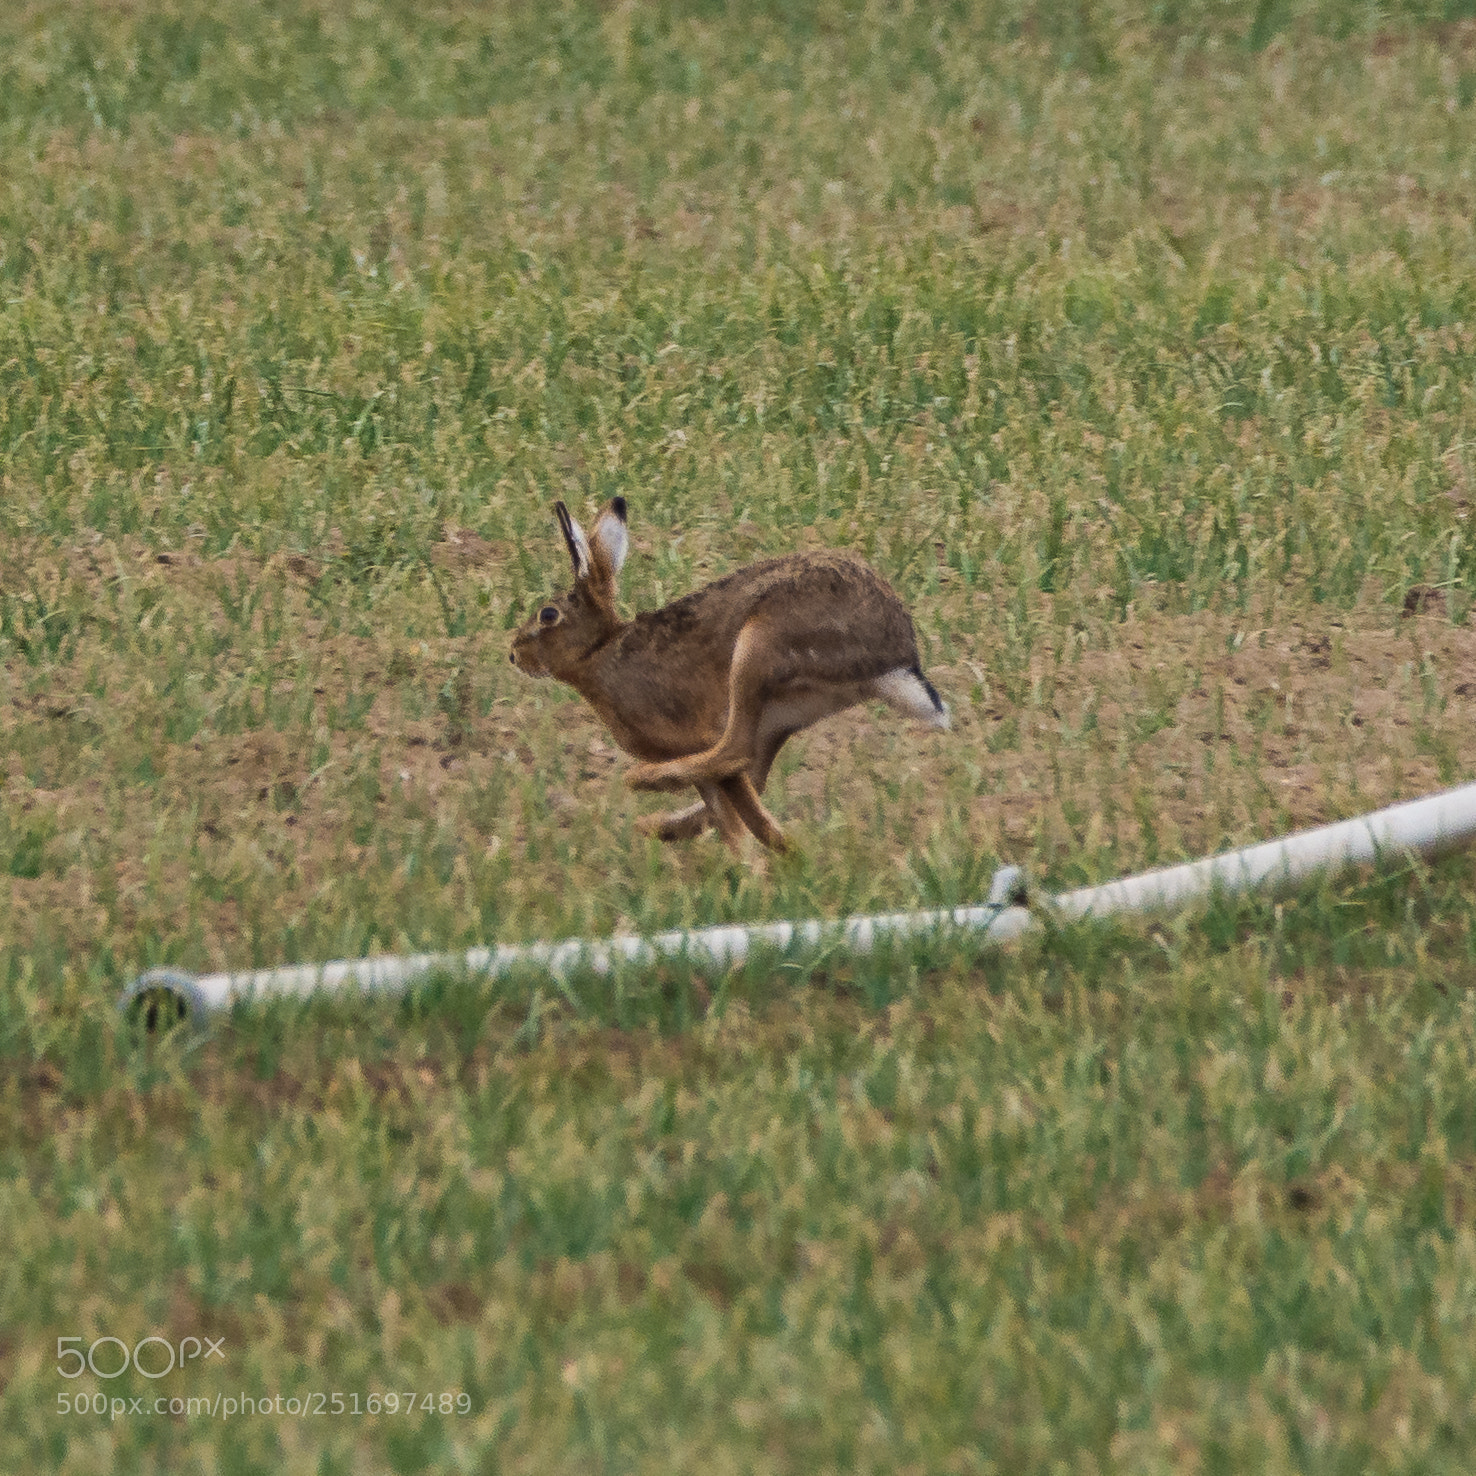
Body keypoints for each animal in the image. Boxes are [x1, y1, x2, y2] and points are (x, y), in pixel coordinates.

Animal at [508, 497, 949, 855]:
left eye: (548, 615)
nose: (514, 654)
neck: (600, 651)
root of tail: (899, 655)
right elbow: (726, 803)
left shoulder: (695, 734)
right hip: (779, 713)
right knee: (750, 770)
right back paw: (666, 827)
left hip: (757, 649)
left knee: (735, 752)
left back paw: (646, 784)